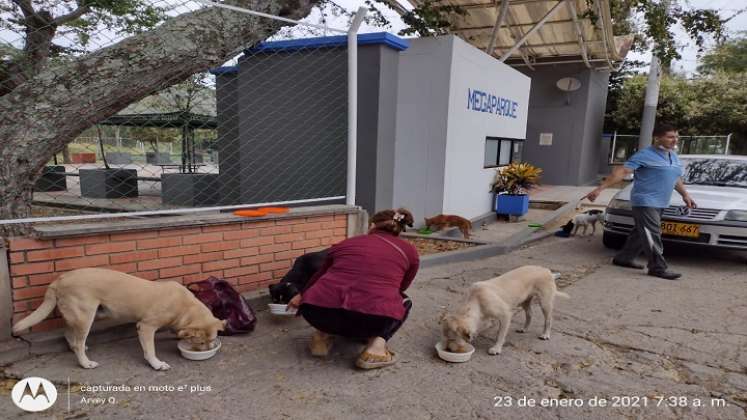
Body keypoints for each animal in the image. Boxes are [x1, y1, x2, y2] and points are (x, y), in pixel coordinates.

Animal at [12, 270, 225, 370]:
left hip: (85, 315)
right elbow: (150, 350)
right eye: (201, 343)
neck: (184, 306)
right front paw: (156, 364)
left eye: (211, 341)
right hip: (86, 317)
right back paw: (85, 362)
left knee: (68, 333)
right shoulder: (145, 327)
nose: (207, 351)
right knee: (78, 343)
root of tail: (59, 279)